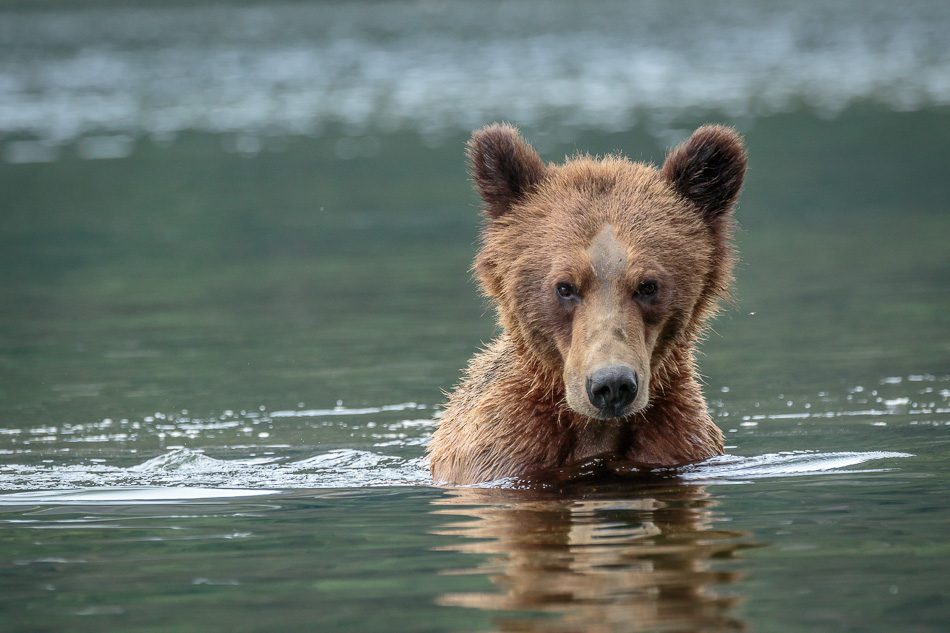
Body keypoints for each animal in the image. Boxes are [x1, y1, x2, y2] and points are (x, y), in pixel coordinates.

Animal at [428, 123, 747, 485]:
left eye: (648, 286)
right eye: (565, 287)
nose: (612, 384)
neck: (596, 432)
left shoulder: (677, 447)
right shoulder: (504, 453)